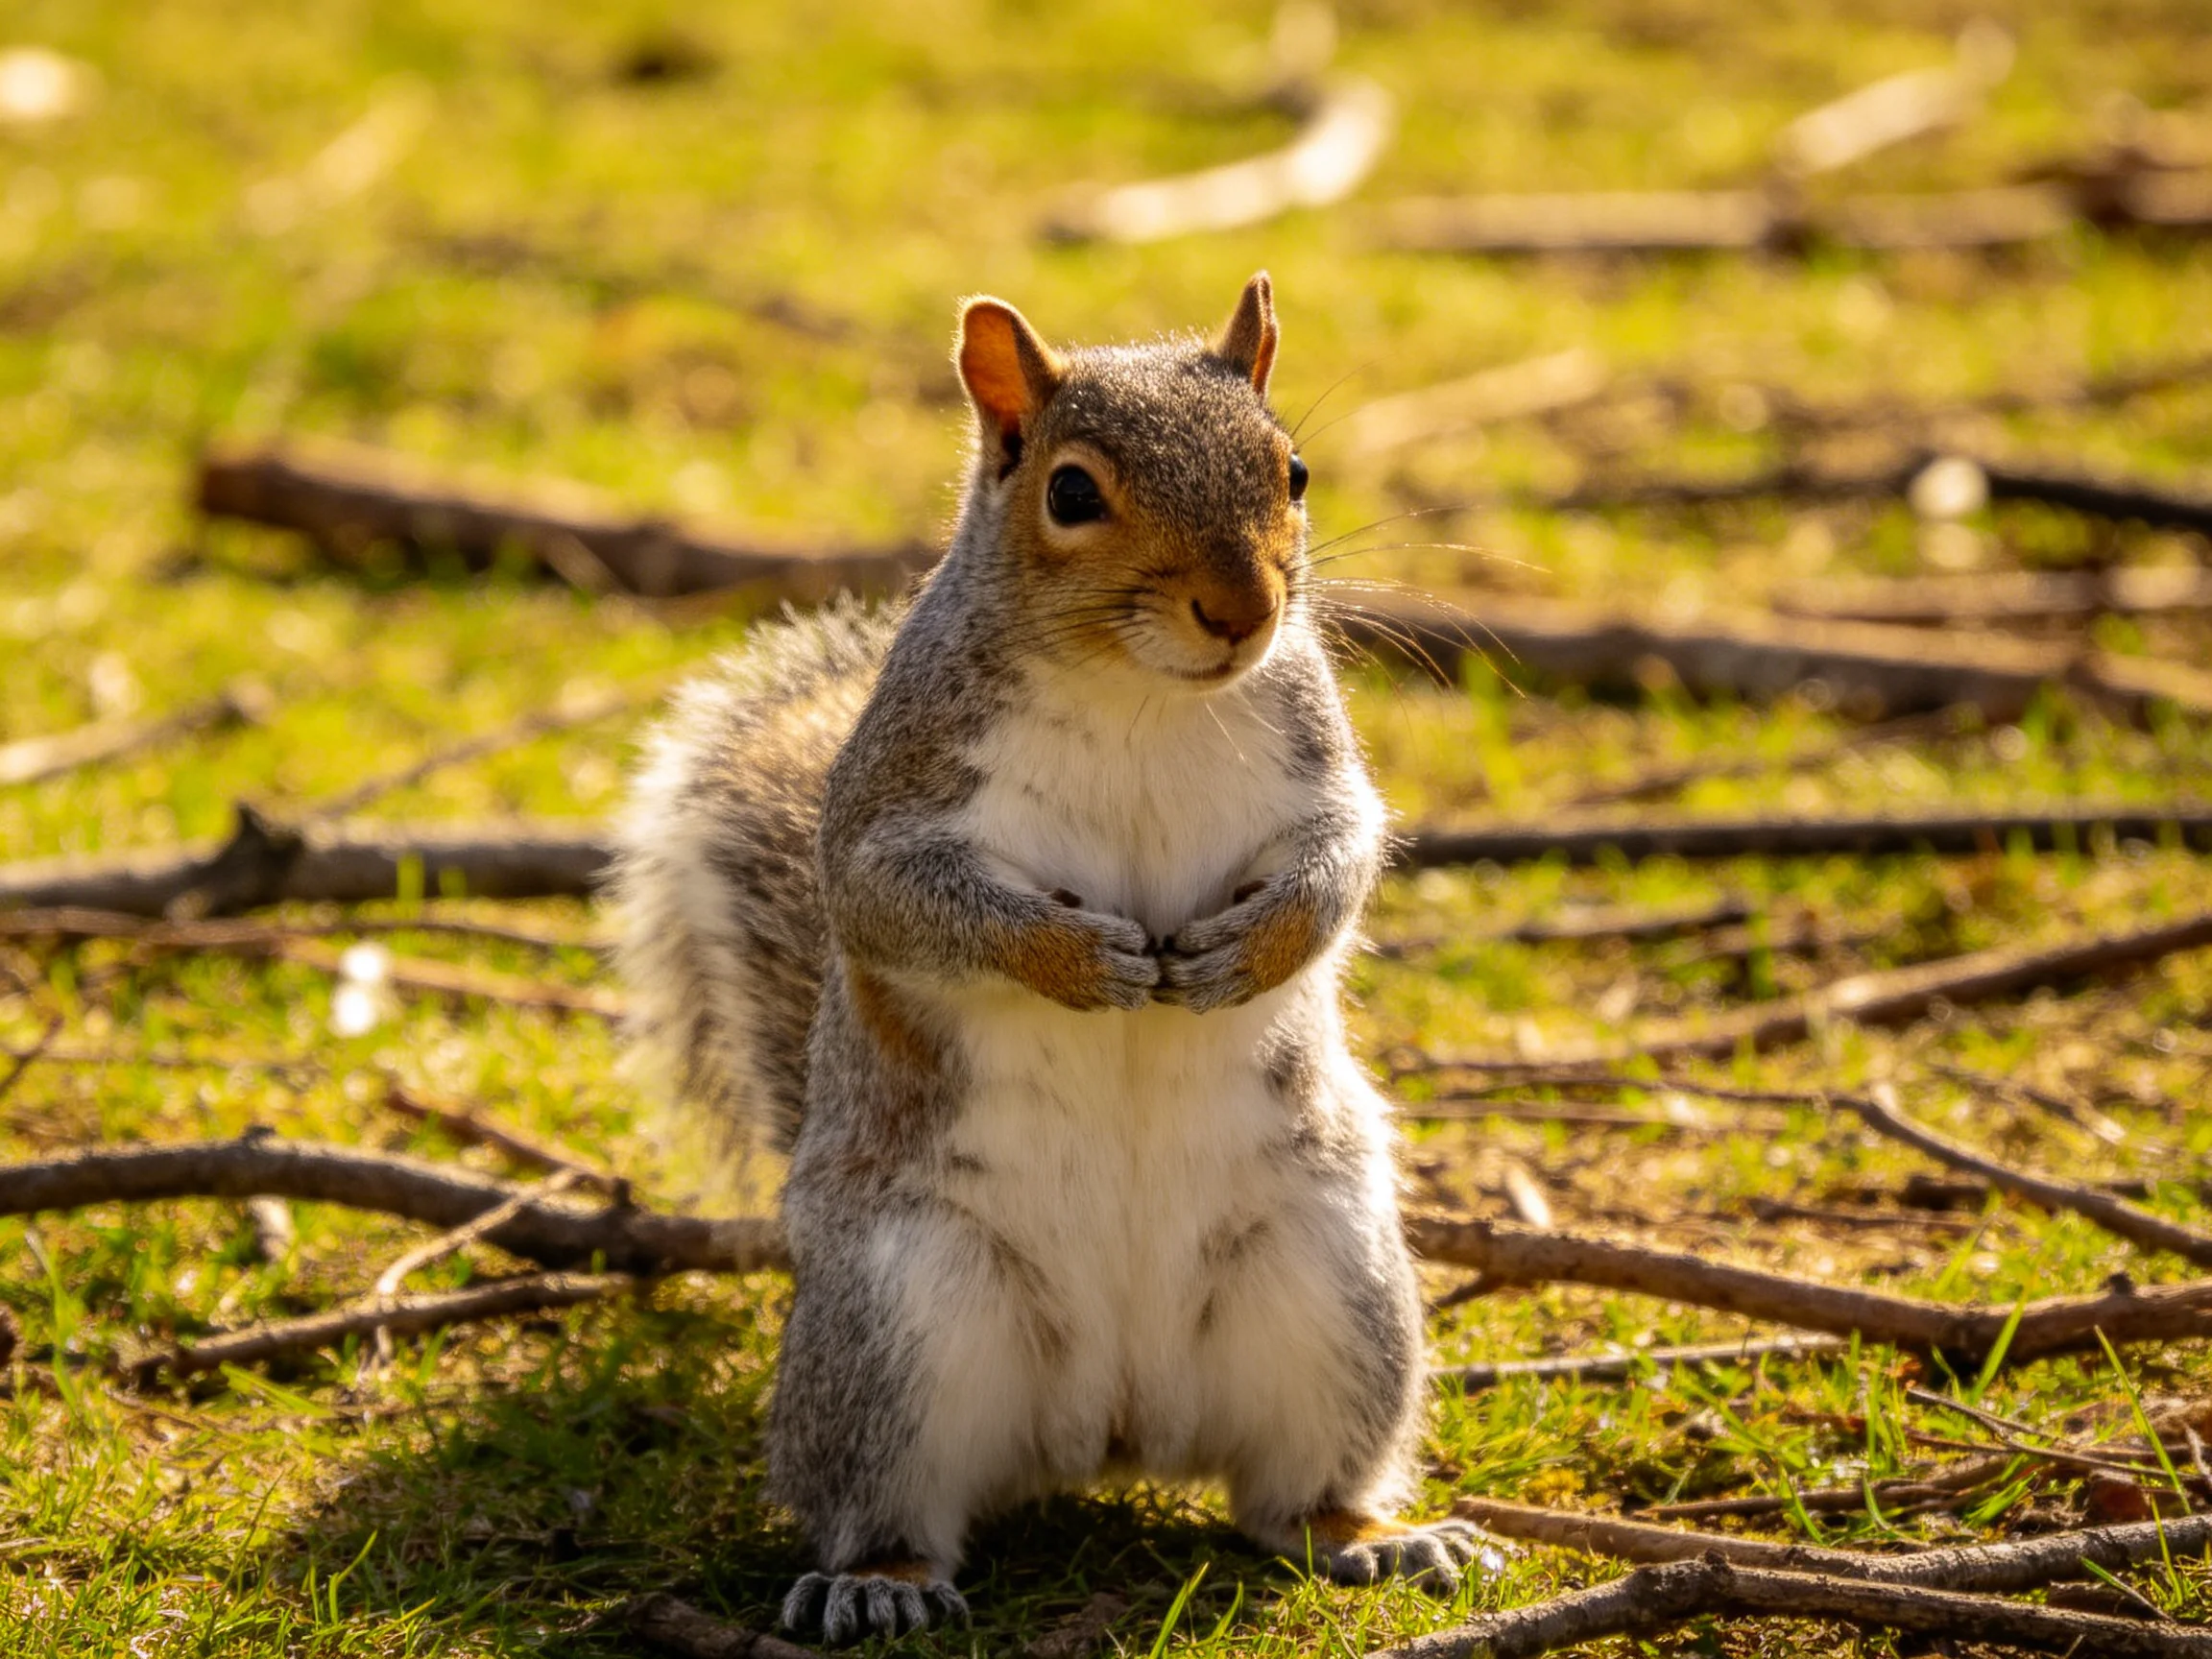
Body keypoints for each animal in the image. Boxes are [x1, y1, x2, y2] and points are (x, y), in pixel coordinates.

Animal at [613, 274, 1482, 1645]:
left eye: (1291, 470)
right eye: (1071, 493)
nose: (1244, 613)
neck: (1141, 689)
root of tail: (1111, 1427)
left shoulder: (1317, 765)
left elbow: (1342, 861)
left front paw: (1248, 952)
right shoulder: (891, 797)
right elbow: (894, 899)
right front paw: (1074, 958)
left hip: (1335, 1288)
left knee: (1291, 1496)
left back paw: (1370, 1536)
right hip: (896, 1323)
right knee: (882, 1498)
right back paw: (878, 1581)